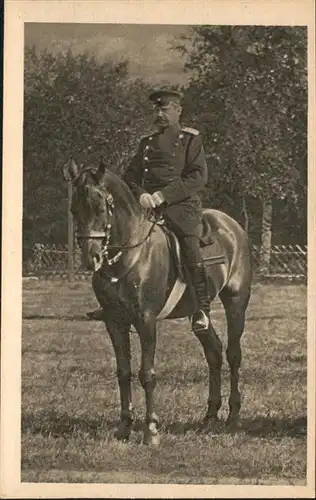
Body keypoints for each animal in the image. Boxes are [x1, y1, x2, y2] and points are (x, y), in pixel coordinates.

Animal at [65, 159, 252, 446]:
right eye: (74, 209)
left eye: (99, 208)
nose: (90, 259)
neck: (130, 254)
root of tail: (233, 226)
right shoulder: (114, 322)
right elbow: (123, 372)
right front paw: (124, 426)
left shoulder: (146, 320)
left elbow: (147, 373)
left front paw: (151, 430)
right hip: (198, 313)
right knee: (213, 352)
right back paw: (210, 415)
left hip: (236, 302)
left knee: (233, 354)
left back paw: (233, 415)